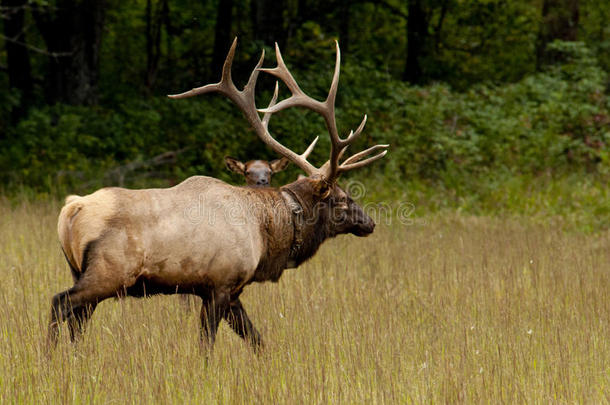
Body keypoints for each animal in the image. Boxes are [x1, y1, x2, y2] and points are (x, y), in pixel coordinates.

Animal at [50, 39, 388, 352]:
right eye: (341, 198)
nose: (369, 223)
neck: (266, 237)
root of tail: (70, 210)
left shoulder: (230, 291)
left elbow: (256, 339)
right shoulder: (220, 283)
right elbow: (207, 344)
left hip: (80, 271)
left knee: (78, 320)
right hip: (109, 272)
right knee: (60, 304)